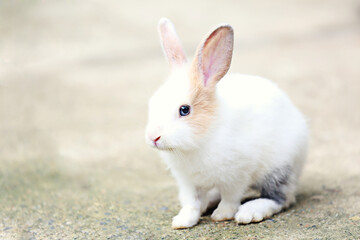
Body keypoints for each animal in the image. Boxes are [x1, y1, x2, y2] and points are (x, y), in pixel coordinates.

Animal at [145, 18, 308, 229]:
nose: (153, 137)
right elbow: (192, 203)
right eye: (152, 102)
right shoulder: (187, 182)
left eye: (184, 110)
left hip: (278, 169)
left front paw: (222, 215)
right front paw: (182, 221)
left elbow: (231, 198)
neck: (201, 139)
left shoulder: (237, 175)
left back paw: (249, 212)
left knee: (281, 197)